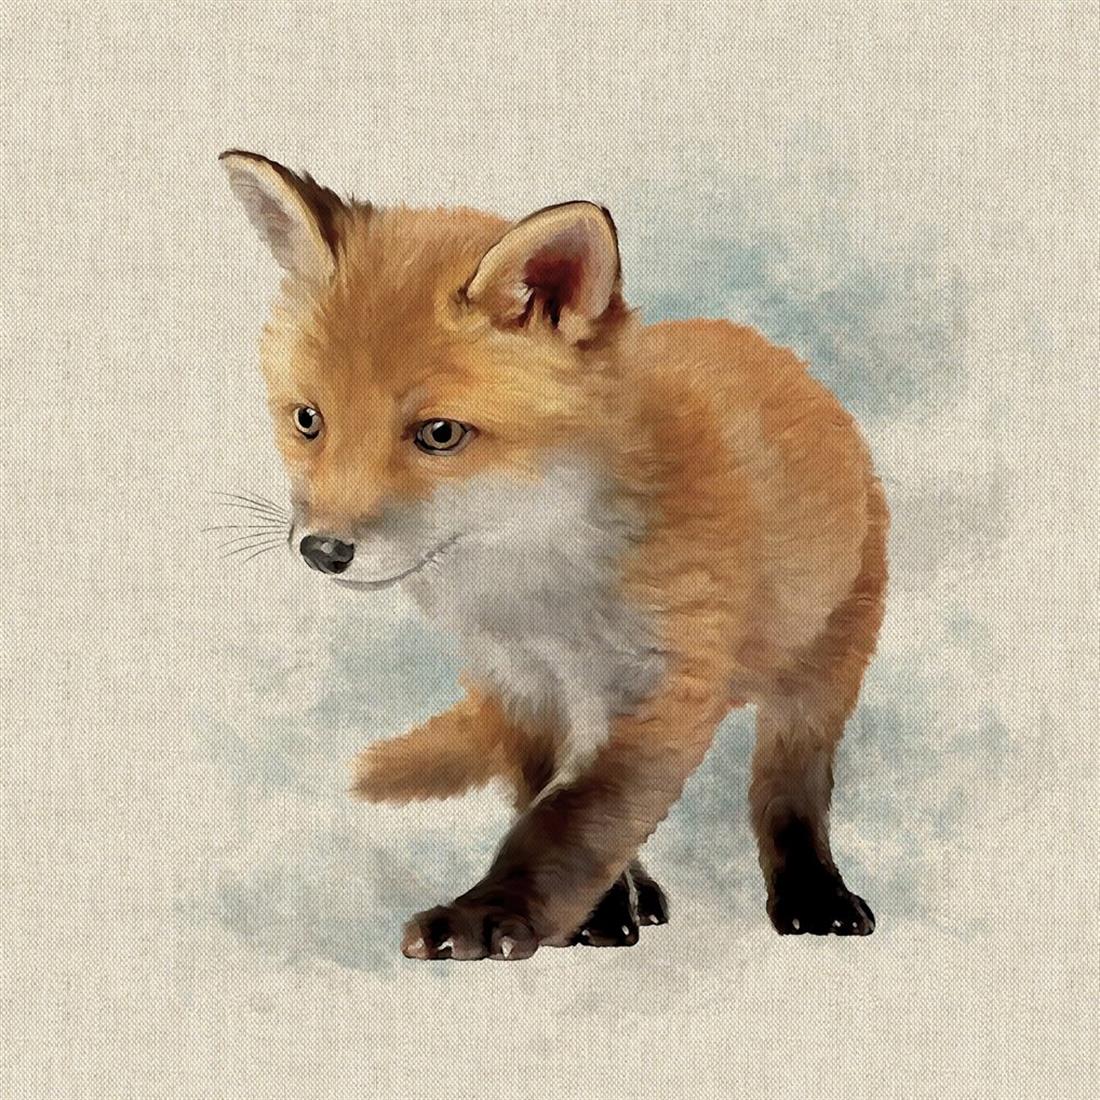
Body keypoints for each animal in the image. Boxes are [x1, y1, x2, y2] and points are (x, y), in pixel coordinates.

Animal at [219, 149, 888, 961]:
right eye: (308, 420)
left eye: (440, 434)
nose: (323, 550)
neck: (536, 589)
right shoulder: (521, 687)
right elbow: (544, 803)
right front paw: (597, 914)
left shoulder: (663, 686)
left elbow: (572, 823)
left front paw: (487, 914)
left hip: (822, 663)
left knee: (789, 788)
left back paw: (812, 893)